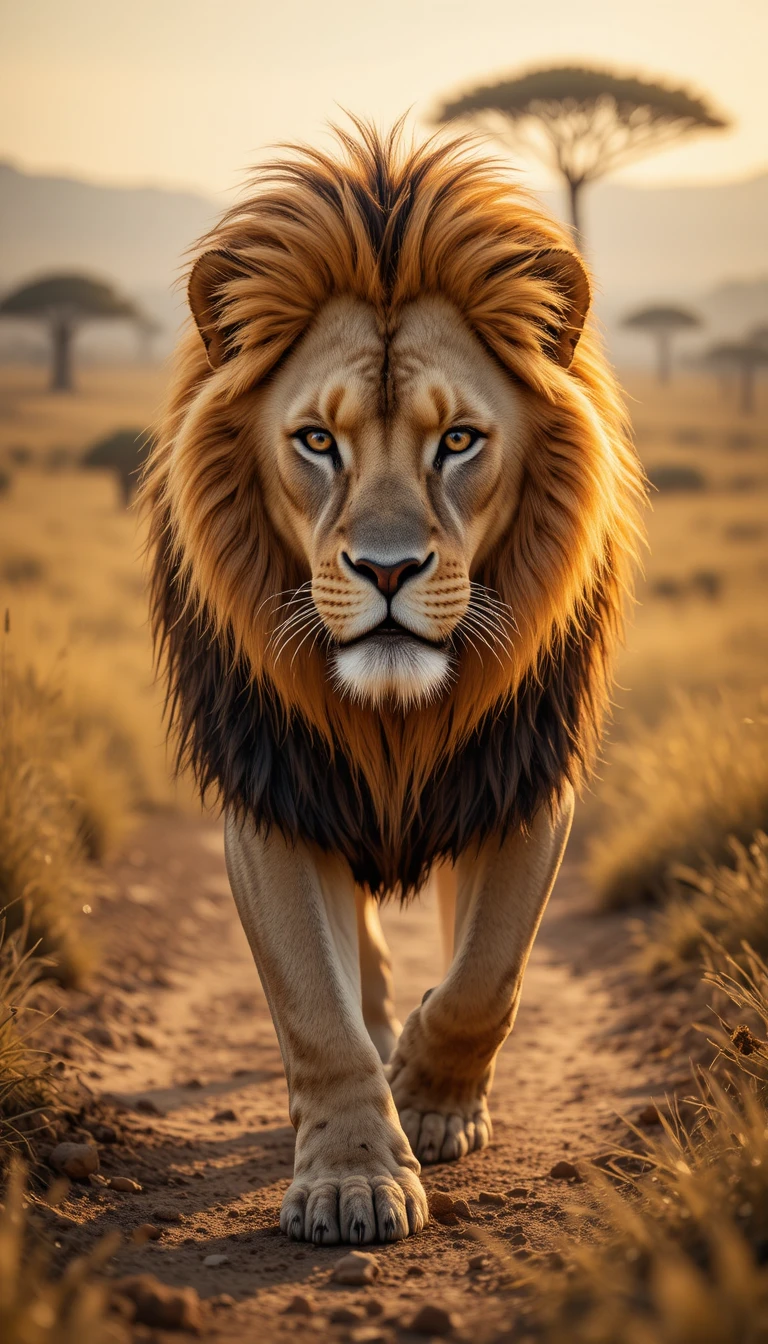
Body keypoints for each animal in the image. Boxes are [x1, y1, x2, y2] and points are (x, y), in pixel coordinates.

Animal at [144, 121, 644, 1246]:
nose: (384, 570)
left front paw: (431, 1097)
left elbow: (487, 975)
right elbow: (316, 1010)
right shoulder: (276, 791)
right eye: (315, 442)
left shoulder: (521, 777)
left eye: (457, 440)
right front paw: (351, 1179)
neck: (394, 716)